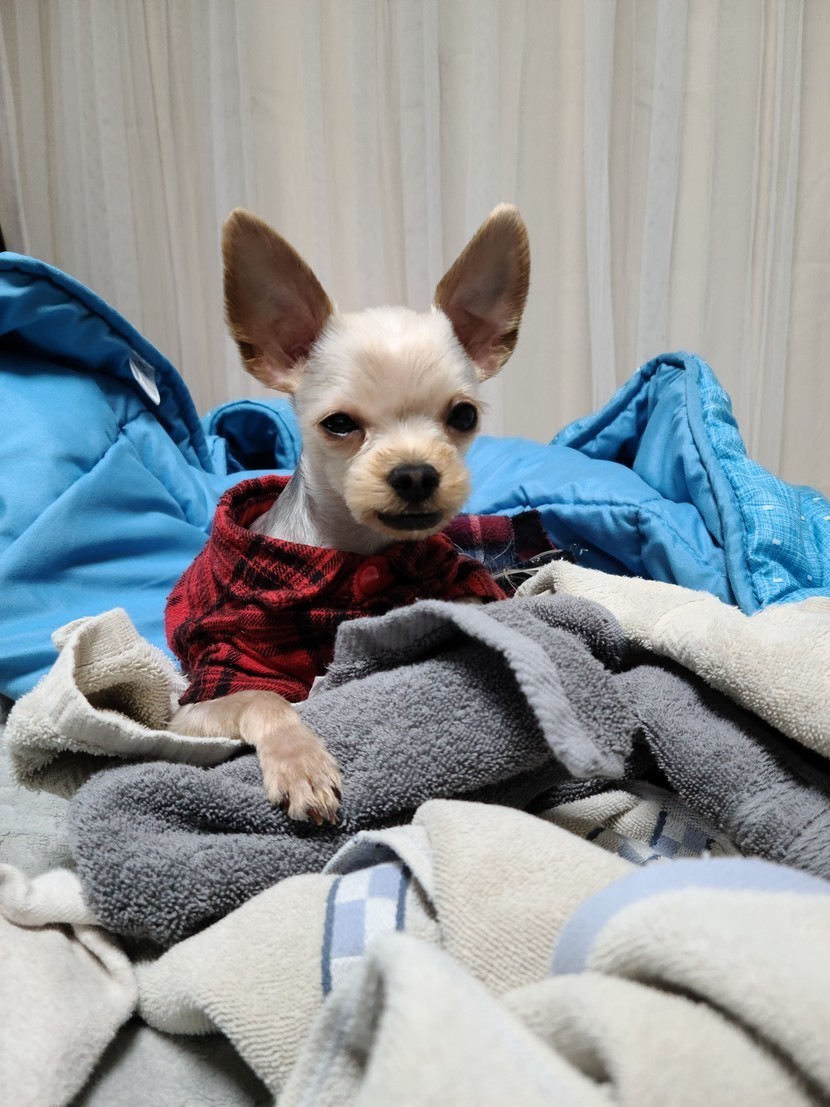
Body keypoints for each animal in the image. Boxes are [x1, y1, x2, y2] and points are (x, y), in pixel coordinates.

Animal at [167, 203, 530, 825]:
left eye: (463, 416)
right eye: (338, 424)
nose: (415, 473)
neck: (355, 554)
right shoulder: (198, 701)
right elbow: (263, 697)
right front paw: (301, 764)